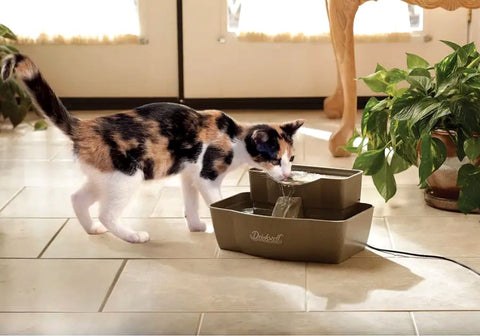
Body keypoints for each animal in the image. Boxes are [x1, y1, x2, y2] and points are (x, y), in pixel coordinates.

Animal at [1, 54, 304, 244]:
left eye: (291, 158)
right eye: (275, 159)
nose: (287, 174)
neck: (234, 137)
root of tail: (84, 126)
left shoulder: (189, 175)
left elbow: (191, 203)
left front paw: (195, 226)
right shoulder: (207, 175)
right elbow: (214, 200)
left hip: (104, 177)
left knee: (77, 198)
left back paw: (92, 229)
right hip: (127, 175)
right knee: (106, 212)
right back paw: (133, 236)